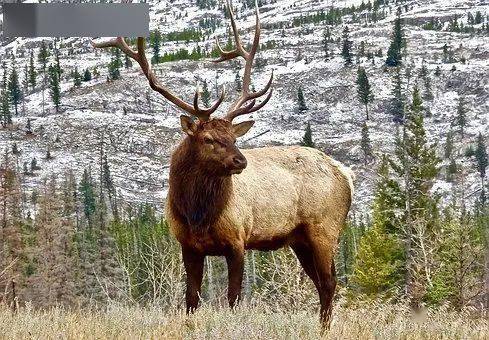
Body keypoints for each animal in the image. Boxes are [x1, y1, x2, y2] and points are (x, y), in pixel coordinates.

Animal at [92, 0, 350, 330]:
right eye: (209, 138)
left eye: (234, 137)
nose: (241, 160)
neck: (197, 214)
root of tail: (346, 175)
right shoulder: (188, 245)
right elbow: (191, 299)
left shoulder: (238, 240)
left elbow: (233, 298)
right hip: (299, 239)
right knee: (321, 283)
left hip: (325, 228)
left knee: (329, 283)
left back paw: (325, 328)